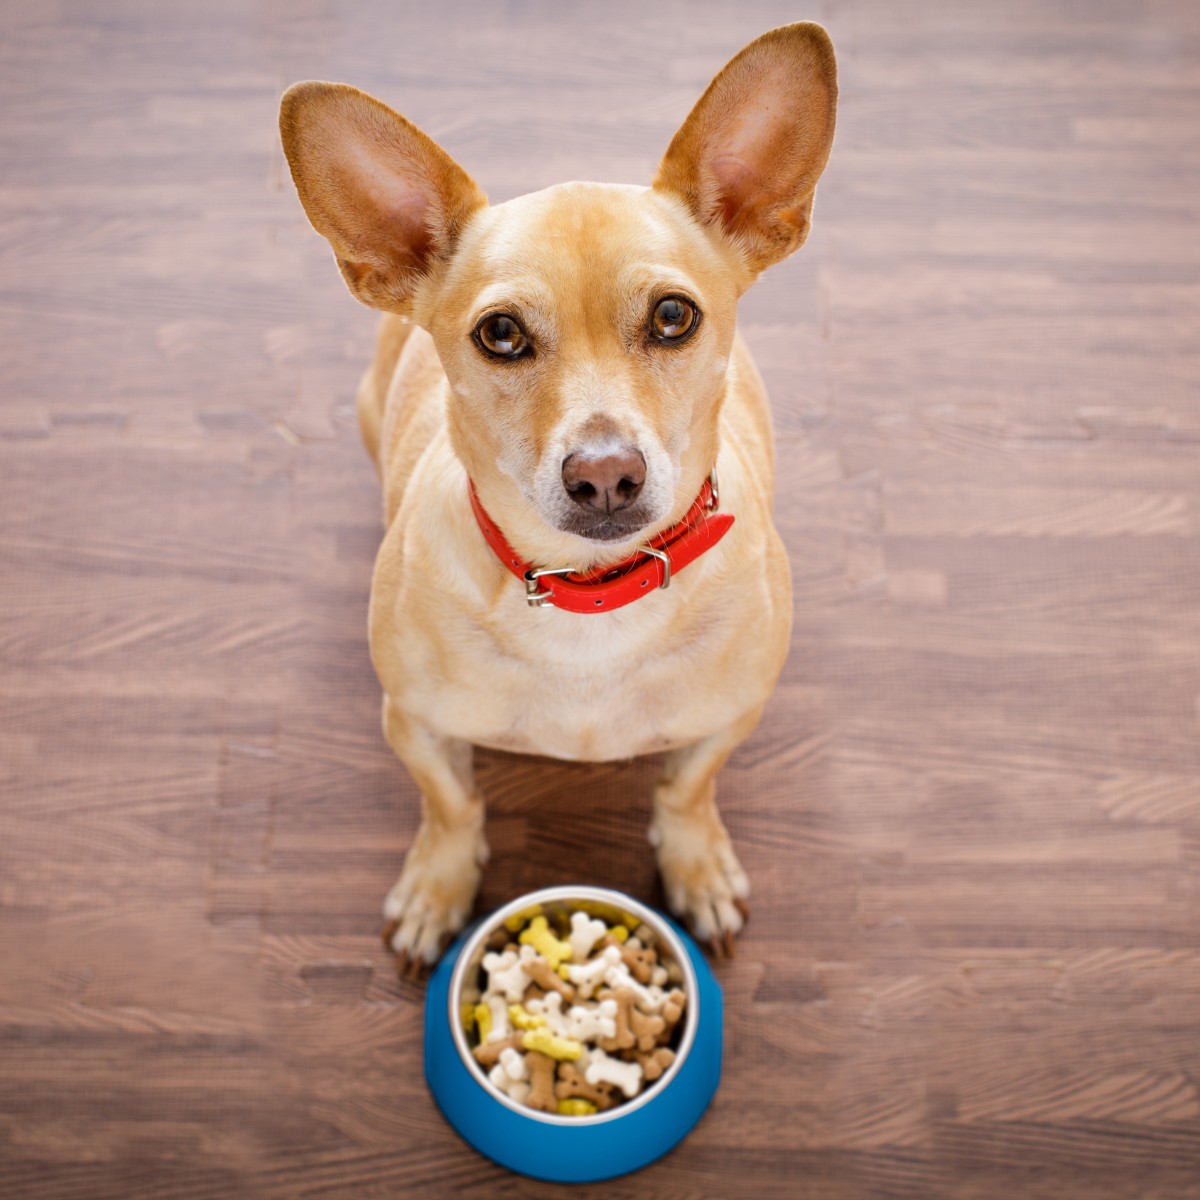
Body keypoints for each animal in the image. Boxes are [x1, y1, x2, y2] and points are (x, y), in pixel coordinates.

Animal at [279, 23, 835, 969]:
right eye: (500, 334)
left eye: (675, 317)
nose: (605, 473)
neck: (590, 596)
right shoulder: (415, 725)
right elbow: (452, 806)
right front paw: (439, 886)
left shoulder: (730, 717)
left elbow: (686, 789)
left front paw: (695, 864)